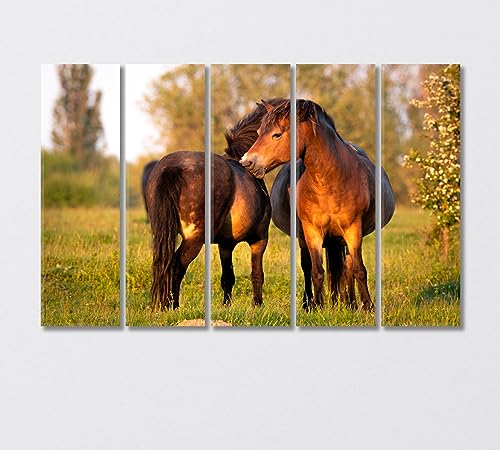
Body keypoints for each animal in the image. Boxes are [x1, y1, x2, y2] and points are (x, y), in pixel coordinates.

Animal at [146, 101, 282, 310]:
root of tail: (174, 168)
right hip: (194, 239)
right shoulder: (259, 239)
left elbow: (228, 277)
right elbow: (257, 274)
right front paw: (258, 305)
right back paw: (173, 306)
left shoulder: (225, 244)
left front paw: (226, 305)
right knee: (176, 265)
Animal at [240, 98, 396, 310]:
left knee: (348, 267)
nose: (246, 162)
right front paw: (318, 306)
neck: (330, 181)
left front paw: (368, 307)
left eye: (276, 134)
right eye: (258, 133)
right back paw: (310, 303)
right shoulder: (312, 231)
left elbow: (359, 269)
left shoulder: (353, 229)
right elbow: (316, 271)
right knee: (308, 267)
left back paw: (351, 304)